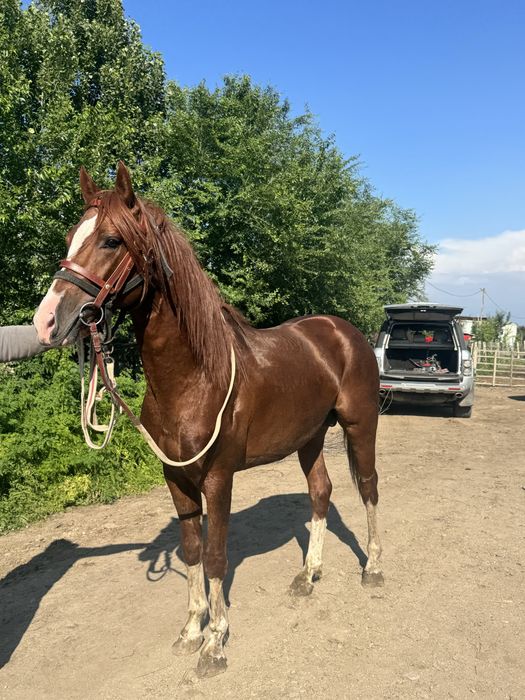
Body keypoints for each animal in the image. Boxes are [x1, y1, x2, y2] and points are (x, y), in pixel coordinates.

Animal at [33, 162, 383, 678]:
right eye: (69, 236)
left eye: (112, 241)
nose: (47, 322)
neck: (196, 376)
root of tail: (343, 331)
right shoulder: (176, 478)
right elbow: (193, 551)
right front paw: (191, 630)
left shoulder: (218, 478)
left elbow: (217, 556)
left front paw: (216, 643)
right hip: (310, 437)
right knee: (321, 491)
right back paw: (307, 575)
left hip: (360, 426)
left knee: (369, 488)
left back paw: (373, 568)